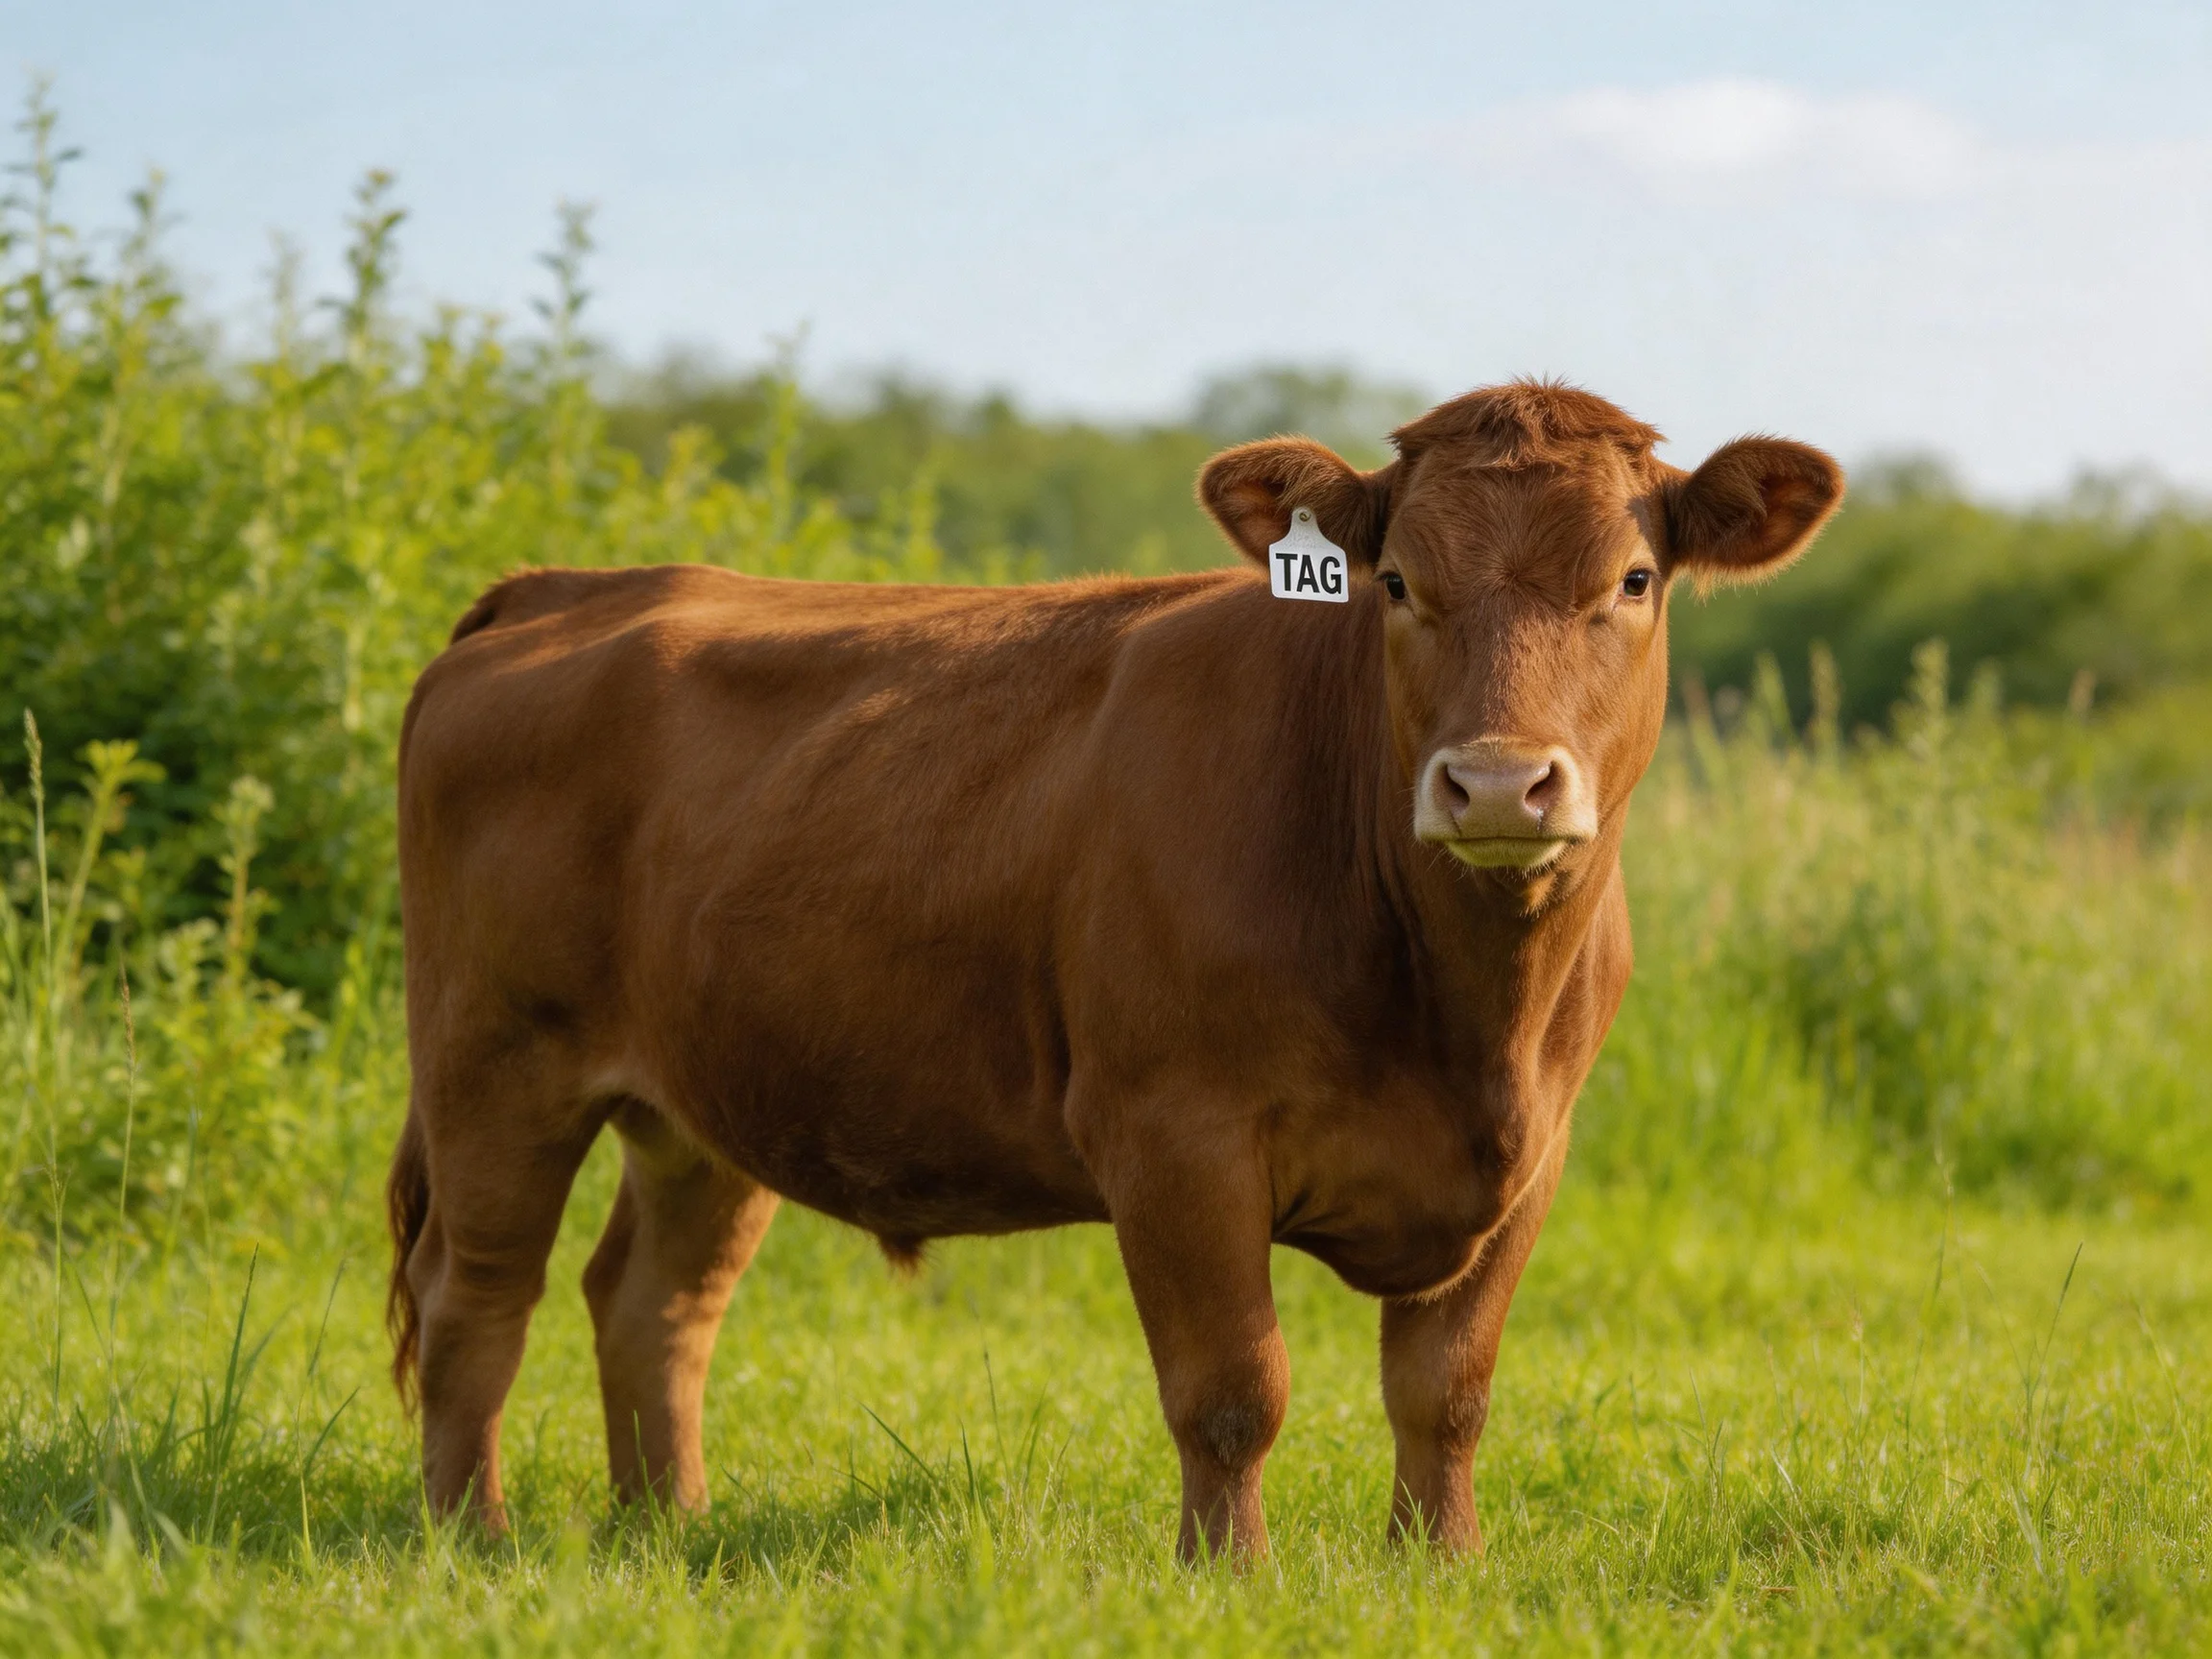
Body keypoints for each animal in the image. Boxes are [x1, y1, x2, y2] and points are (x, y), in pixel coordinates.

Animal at [387, 381, 1842, 1559]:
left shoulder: (1533, 1152)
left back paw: (666, 1529)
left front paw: (1441, 1566)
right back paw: (472, 1539)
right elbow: (1233, 1388)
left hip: (703, 1101)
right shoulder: (1172, 1130)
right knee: (478, 1297)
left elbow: (1447, 1390)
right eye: (1397, 583)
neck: (1465, 1013)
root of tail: (571, 586)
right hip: (494, 1062)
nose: (1495, 782)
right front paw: (1229, 1576)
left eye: (1635, 582)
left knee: (652, 1303)